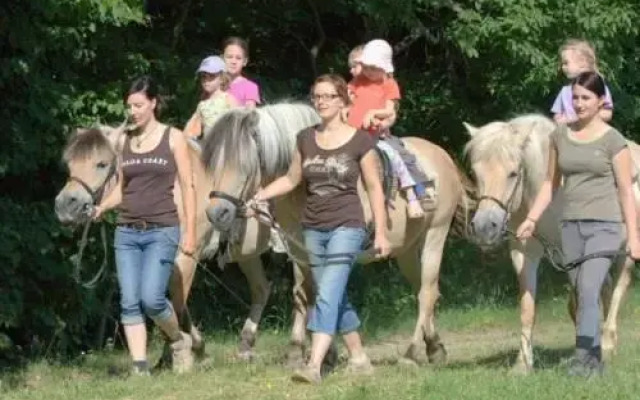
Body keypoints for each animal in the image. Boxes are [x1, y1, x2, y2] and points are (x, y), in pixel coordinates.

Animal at [52, 124, 292, 362]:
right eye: (69, 163)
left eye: (101, 164)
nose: (65, 206)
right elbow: (167, 303)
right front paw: (184, 349)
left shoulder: (186, 258)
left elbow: (177, 304)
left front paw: (187, 351)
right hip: (247, 255)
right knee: (261, 289)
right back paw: (245, 346)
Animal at [200, 102, 476, 366]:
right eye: (214, 163)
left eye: (245, 165)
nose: (216, 212)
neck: (302, 190)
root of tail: (442, 155)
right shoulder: (301, 250)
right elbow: (307, 295)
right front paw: (311, 353)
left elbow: (327, 292)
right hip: (406, 250)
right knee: (424, 290)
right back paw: (434, 347)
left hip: (435, 235)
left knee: (427, 292)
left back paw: (410, 353)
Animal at [464, 114, 640, 374]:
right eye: (476, 174)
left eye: (513, 173)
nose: (485, 227)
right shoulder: (524, 253)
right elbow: (528, 309)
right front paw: (523, 364)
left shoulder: (572, 255)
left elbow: (580, 301)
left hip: (625, 252)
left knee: (618, 289)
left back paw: (607, 345)